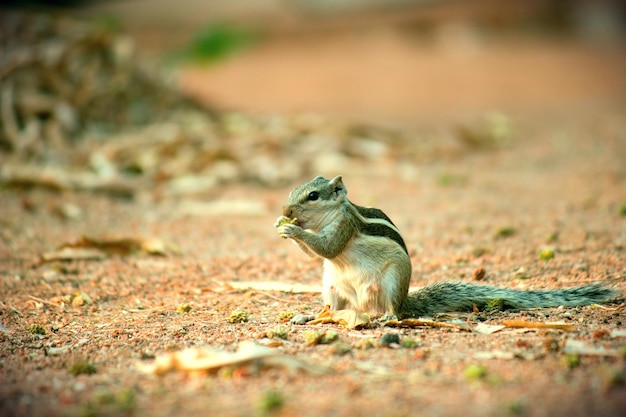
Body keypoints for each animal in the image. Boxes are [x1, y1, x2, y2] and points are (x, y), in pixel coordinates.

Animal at [276, 174, 616, 316]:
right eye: (292, 190)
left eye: (313, 196)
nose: (285, 210)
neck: (332, 214)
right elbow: (317, 254)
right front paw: (283, 227)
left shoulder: (344, 227)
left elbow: (329, 248)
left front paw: (293, 230)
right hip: (331, 287)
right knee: (333, 309)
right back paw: (312, 316)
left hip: (391, 283)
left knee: (394, 311)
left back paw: (387, 317)